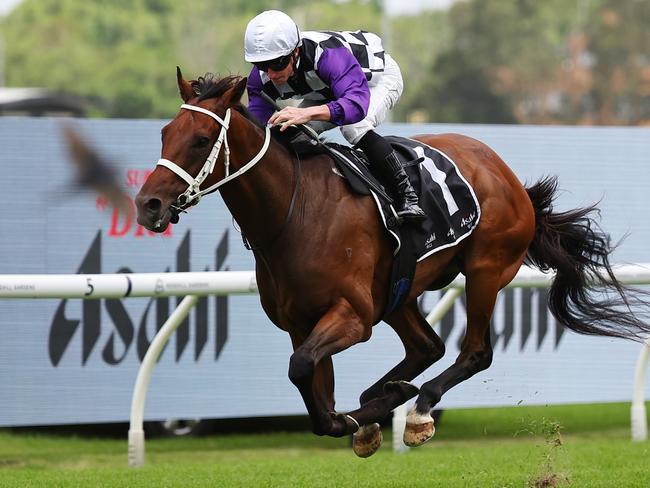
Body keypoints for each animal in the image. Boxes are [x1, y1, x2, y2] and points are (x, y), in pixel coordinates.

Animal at [134, 68, 644, 458]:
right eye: (164, 133)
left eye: (201, 140)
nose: (148, 205)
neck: (294, 214)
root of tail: (507, 175)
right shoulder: (302, 323)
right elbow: (315, 389)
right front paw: (368, 414)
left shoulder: (352, 316)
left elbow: (304, 375)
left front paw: (368, 416)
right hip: (400, 291)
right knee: (427, 347)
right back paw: (392, 395)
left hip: (486, 270)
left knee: (474, 351)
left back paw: (418, 410)